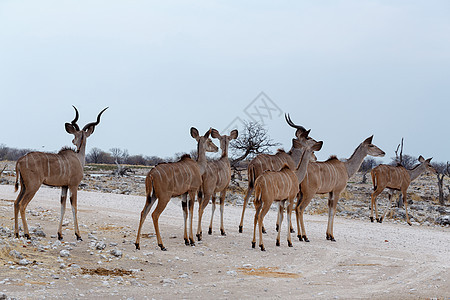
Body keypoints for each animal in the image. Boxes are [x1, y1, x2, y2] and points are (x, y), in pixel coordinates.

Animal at [14, 106, 107, 240]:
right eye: (75, 134)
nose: (73, 141)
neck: (78, 157)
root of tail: (20, 160)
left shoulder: (64, 186)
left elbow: (62, 207)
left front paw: (60, 234)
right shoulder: (73, 186)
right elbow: (74, 207)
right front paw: (78, 235)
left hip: (23, 186)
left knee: (16, 203)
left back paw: (17, 233)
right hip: (33, 187)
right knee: (22, 204)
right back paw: (27, 234)